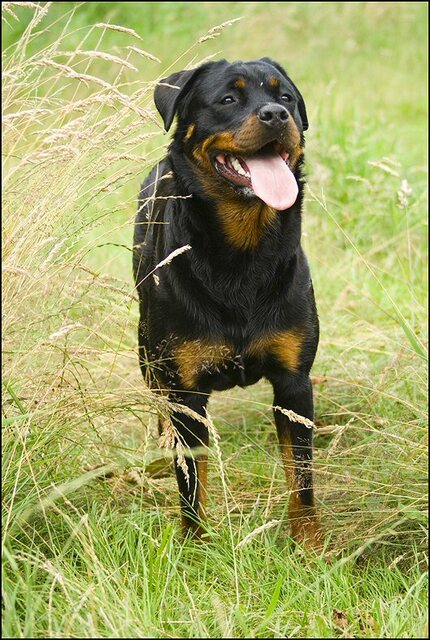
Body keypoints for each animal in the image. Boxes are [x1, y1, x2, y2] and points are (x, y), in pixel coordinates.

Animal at [134, 57, 322, 548]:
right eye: (228, 99)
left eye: (286, 96)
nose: (276, 114)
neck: (243, 253)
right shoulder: (186, 391)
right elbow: (191, 479)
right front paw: (196, 546)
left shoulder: (295, 383)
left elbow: (302, 480)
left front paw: (310, 546)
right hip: (148, 352)